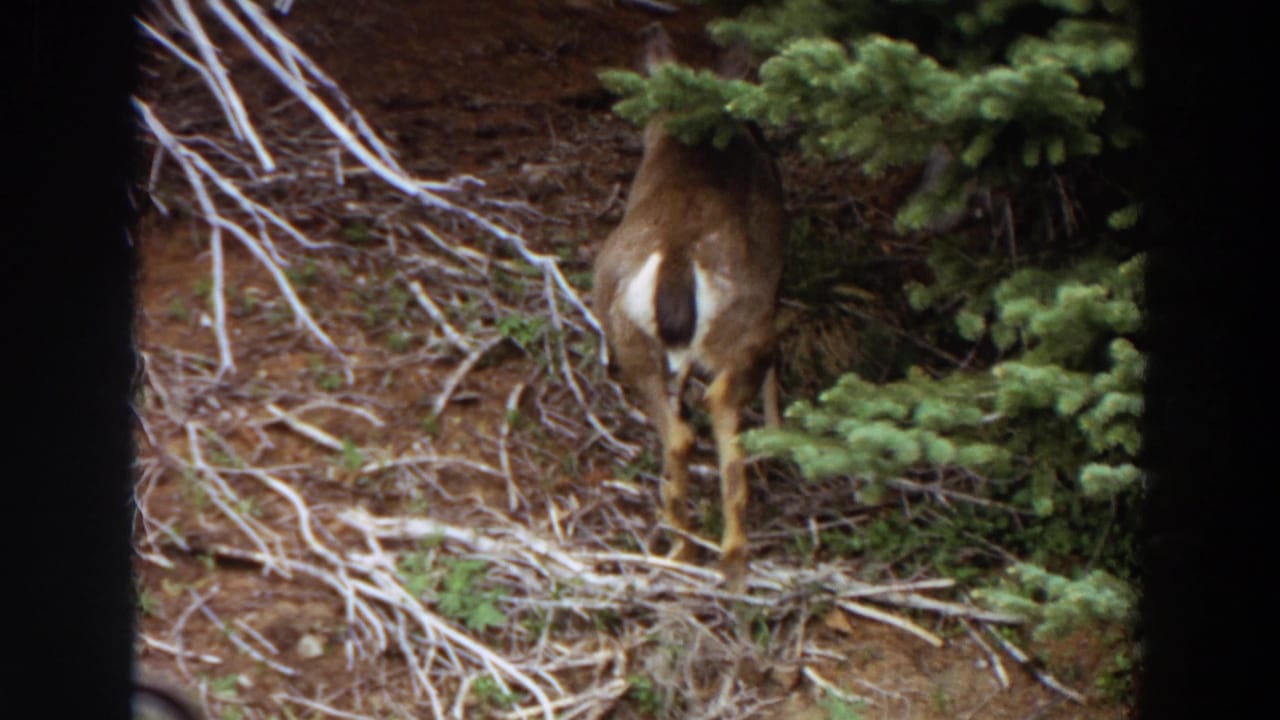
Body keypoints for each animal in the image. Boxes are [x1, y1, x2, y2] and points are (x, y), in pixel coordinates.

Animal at [592, 23, 786, 592]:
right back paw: (733, 556)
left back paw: (680, 545)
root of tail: (677, 259)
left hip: (624, 331)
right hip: (744, 321)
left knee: (678, 430)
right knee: (721, 405)